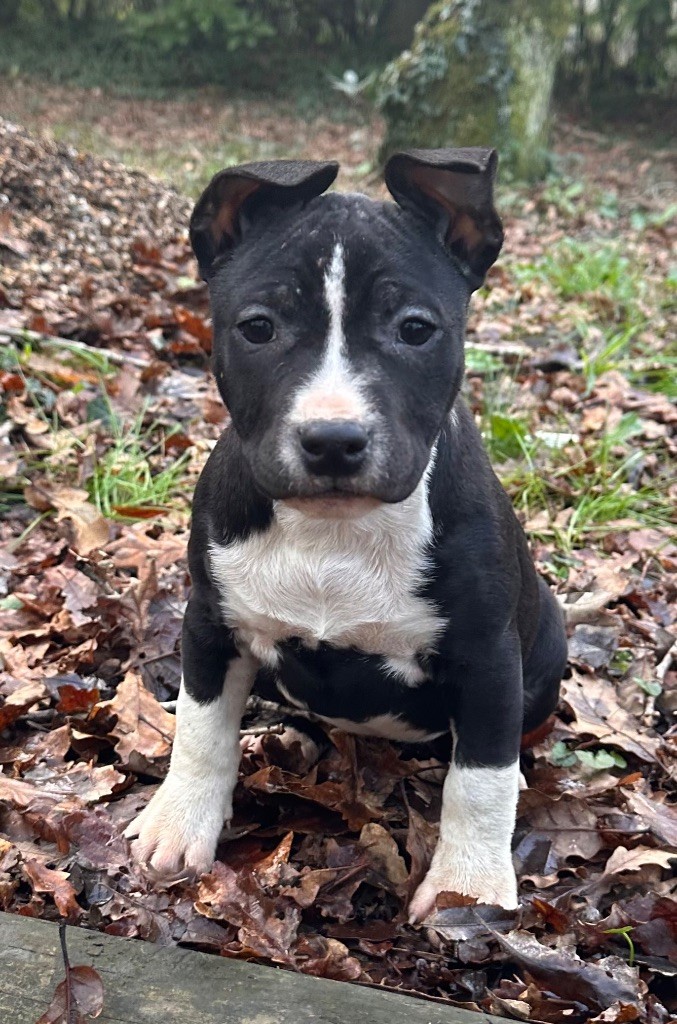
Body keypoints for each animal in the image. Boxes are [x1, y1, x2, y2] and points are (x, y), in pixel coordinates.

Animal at [126, 149, 568, 921]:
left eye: (416, 329)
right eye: (258, 327)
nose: (333, 440)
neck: (333, 531)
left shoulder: (487, 655)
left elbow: (479, 776)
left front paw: (468, 888)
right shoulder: (210, 622)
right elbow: (200, 731)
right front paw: (177, 827)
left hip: (547, 639)